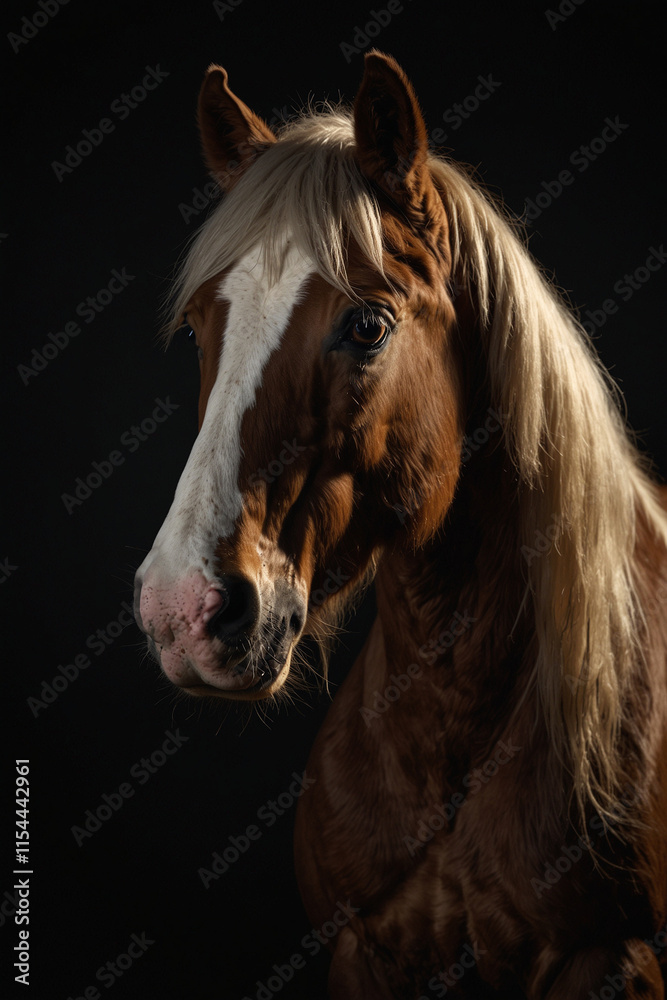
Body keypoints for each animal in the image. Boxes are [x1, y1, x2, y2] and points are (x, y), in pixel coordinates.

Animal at [133, 51, 667, 998]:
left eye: (367, 324)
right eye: (199, 327)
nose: (180, 610)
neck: (454, 722)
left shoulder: (607, 961)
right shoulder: (364, 952)